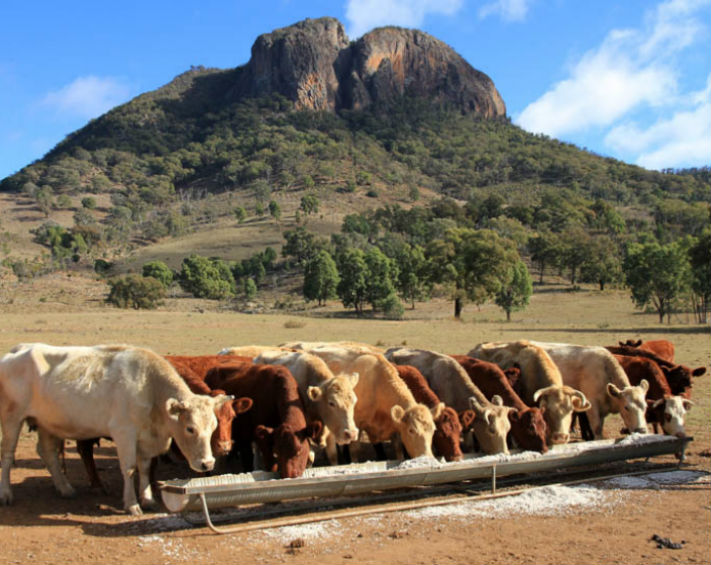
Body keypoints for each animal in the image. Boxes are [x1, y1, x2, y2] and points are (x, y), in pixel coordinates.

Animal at [0, 342, 232, 512]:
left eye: (213, 427)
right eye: (190, 428)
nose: (207, 463)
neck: (150, 388)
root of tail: (17, 350)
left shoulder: (145, 438)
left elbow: (144, 468)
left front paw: (147, 499)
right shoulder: (124, 433)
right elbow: (129, 468)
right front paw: (132, 504)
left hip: (46, 423)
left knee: (47, 453)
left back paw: (65, 488)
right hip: (12, 418)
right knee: (8, 455)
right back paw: (6, 494)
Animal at [302, 346, 444, 460]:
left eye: (433, 430)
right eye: (411, 430)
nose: (427, 457)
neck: (377, 385)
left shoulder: (394, 427)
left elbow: (398, 449)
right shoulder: (356, 425)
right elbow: (355, 450)